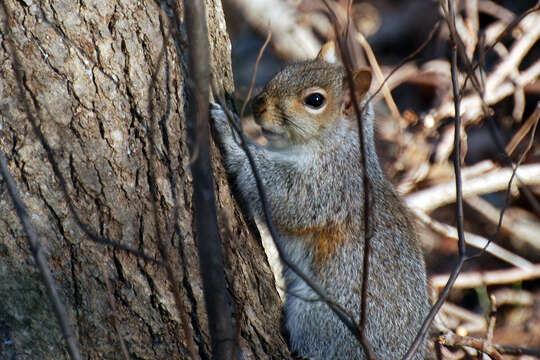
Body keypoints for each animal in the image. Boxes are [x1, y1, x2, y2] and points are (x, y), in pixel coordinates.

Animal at [209, 41, 428, 358]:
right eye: (286, 69)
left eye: (314, 100)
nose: (257, 105)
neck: (335, 145)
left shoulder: (327, 186)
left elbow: (284, 196)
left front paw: (232, 132)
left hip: (320, 321)